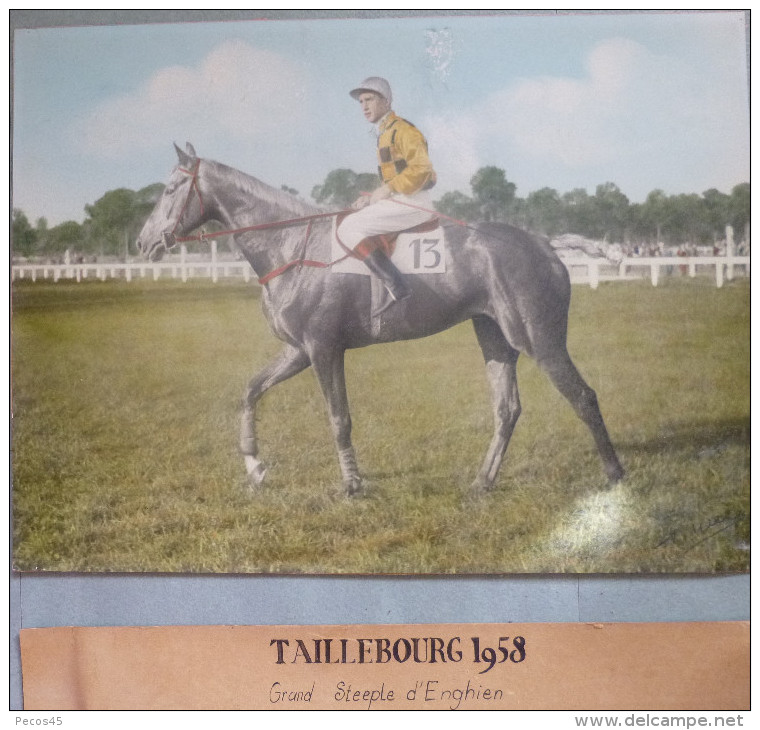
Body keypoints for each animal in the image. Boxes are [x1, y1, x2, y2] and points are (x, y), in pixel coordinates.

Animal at [137, 142, 624, 494]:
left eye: (170, 189)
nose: (144, 243)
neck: (294, 246)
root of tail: (544, 243)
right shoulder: (298, 351)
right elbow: (251, 390)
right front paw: (255, 468)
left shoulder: (324, 349)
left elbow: (339, 418)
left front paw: (352, 484)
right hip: (494, 337)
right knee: (507, 408)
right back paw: (483, 481)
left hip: (538, 338)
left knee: (583, 396)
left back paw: (614, 473)